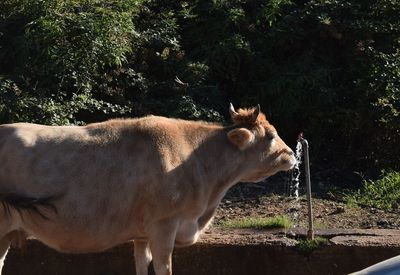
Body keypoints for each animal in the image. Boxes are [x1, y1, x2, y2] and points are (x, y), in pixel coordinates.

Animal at [0, 104, 294, 274]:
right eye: (271, 135)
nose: (292, 154)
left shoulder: (141, 234)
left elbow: (142, 265)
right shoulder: (163, 225)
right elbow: (164, 268)